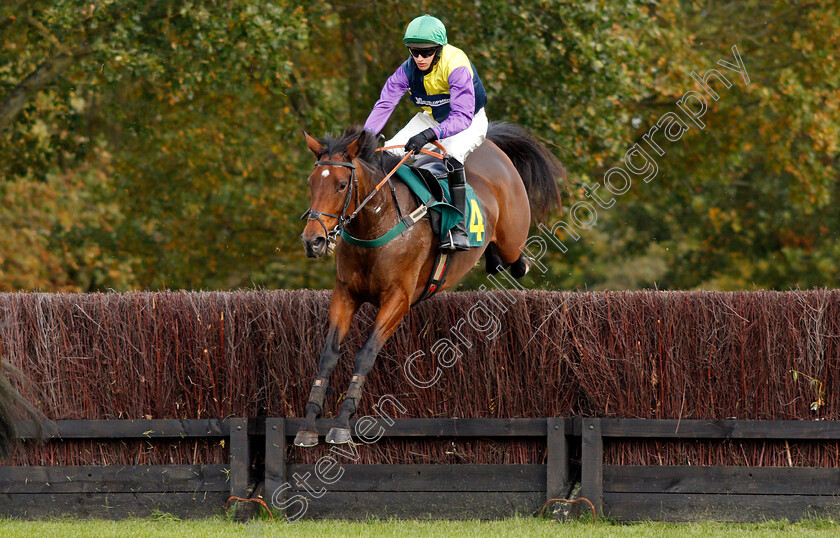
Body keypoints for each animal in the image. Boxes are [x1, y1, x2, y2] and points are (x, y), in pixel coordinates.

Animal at [296, 121, 564, 444]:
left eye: (340, 184)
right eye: (311, 182)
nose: (313, 241)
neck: (377, 223)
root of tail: (491, 144)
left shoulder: (398, 299)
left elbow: (365, 356)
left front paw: (342, 424)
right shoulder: (345, 293)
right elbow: (328, 355)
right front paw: (308, 425)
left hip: (513, 236)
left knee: (516, 259)